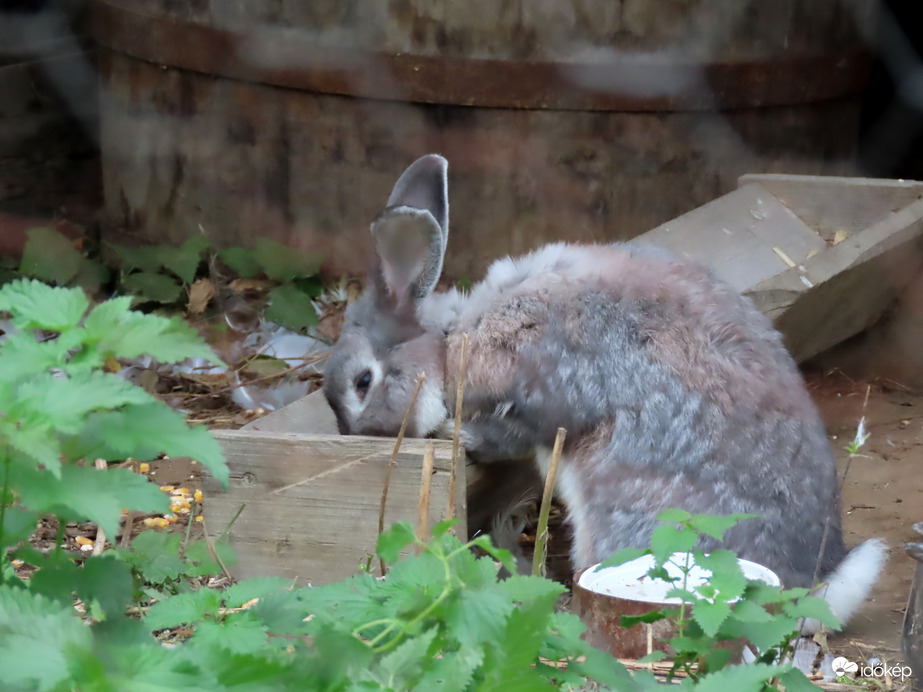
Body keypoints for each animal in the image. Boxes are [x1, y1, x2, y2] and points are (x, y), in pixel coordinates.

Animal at [324, 154, 888, 628]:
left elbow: (519, 428)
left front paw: (458, 435)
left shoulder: (538, 390)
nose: (357, 432)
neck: (450, 340)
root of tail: (810, 590)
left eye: (362, 382)